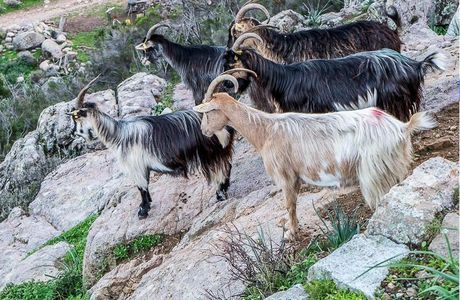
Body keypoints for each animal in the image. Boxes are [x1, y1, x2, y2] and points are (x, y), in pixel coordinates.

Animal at [192, 74, 436, 240]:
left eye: (208, 112)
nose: (204, 131)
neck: (266, 131)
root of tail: (401, 127)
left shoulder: (286, 176)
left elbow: (290, 204)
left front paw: (291, 232)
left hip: (373, 173)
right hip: (395, 167)